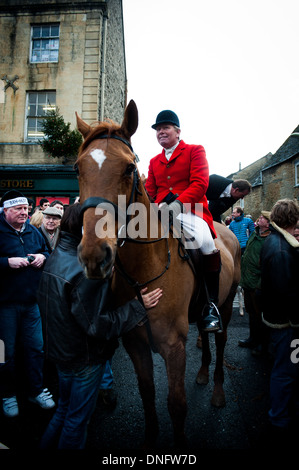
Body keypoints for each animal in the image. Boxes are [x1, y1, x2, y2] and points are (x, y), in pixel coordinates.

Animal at [74, 100, 241, 448]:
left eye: (128, 168)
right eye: (77, 168)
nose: (94, 256)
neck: (143, 268)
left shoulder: (173, 346)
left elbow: (176, 403)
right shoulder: (134, 343)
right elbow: (147, 393)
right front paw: (151, 438)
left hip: (227, 303)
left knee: (219, 341)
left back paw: (218, 391)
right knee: (204, 335)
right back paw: (202, 374)